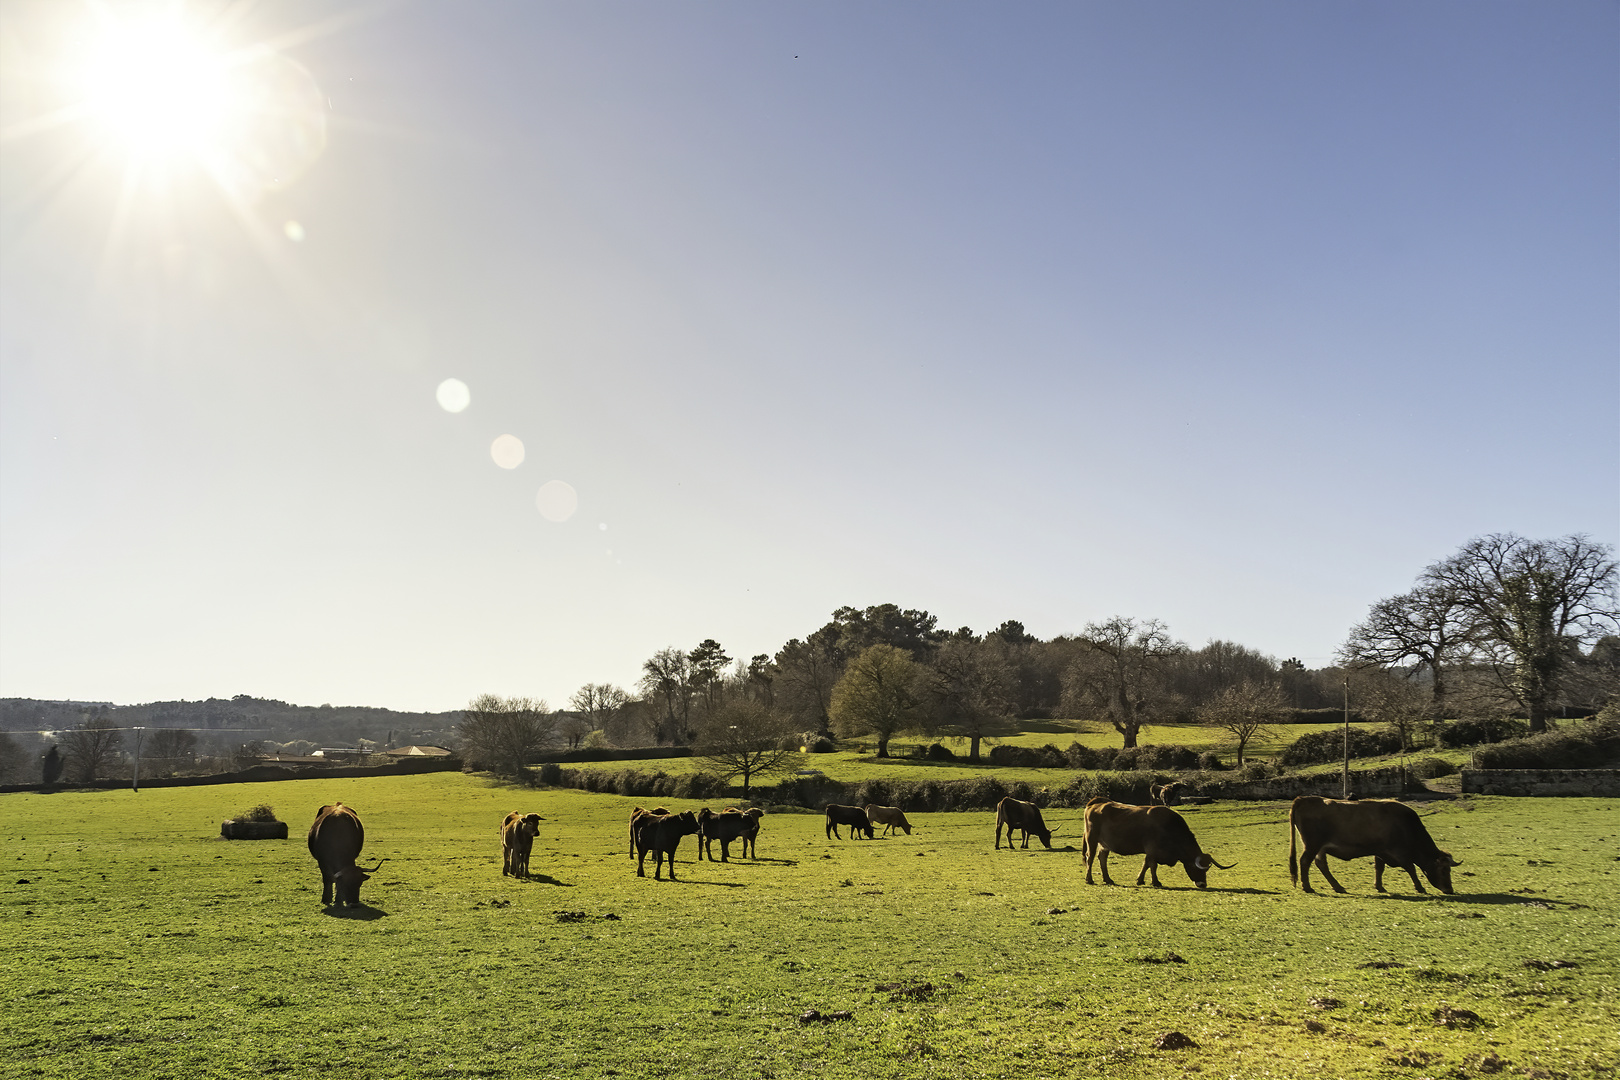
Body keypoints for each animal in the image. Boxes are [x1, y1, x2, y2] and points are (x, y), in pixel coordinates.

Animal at [1082, 799, 1231, 893]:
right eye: (1198, 868)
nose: (1203, 884)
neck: (1169, 827)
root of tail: (1095, 804)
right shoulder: (1152, 849)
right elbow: (1153, 865)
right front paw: (1155, 882)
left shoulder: (1150, 852)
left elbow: (1146, 864)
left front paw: (1140, 880)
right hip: (1092, 840)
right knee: (1091, 857)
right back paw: (1089, 879)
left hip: (1104, 844)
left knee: (1102, 858)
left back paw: (1108, 879)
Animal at [1283, 793, 1464, 893]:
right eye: (1444, 870)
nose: (1450, 890)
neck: (1407, 825)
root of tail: (1303, 799)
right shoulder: (1400, 852)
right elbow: (1411, 868)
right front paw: (1420, 887)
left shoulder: (1381, 851)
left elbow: (1379, 868)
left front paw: (1379, 886)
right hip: (1312, 845)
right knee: (1305, 861)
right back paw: (1307, 887)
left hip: (1319, 847)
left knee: (1321, 864)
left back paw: (1338, 886)